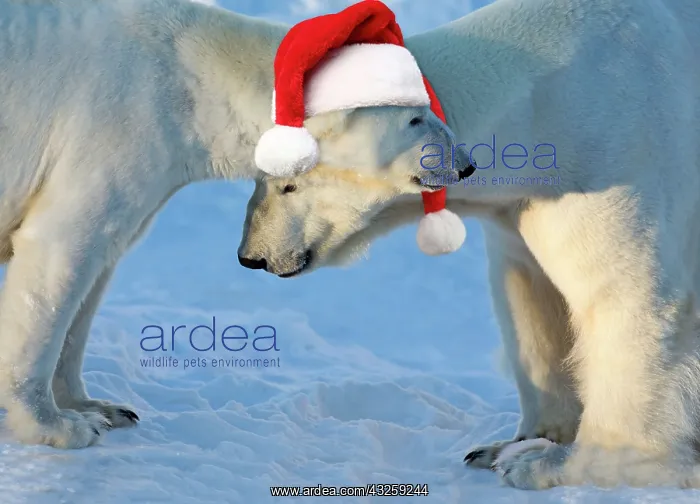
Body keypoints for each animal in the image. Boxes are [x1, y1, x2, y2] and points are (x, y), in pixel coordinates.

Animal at [0, 0, 463, 449]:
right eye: (416, 118)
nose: (465, 163)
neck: (189, 71)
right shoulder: (118, 126)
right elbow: (60, 250)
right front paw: (58, 426)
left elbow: (96, 271)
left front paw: (98, 408)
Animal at [236, 0, 700, 490]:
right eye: (260, 176)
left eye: (287, 184)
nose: (252, 256)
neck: (545, 103)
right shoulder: (520, 207)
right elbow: (530, 295)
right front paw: (510, 444)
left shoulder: (619, 155)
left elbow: (627, 297)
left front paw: (555, 463)